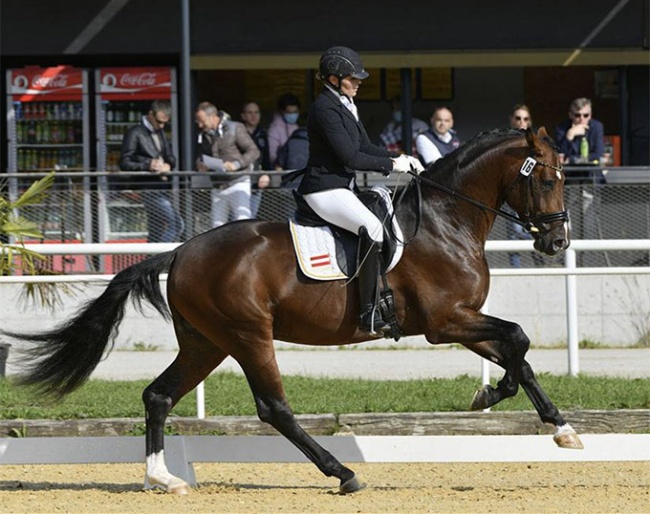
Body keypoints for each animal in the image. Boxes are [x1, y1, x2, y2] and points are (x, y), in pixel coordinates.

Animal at [5, 127, 580, 492]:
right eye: (546, 179)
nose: (556, 243)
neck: (446, 219)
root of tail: (182, 252)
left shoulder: (459, 321)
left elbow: (519, 354)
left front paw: (553, 424)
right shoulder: (445, 322)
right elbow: (520, 338)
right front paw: (494, 396)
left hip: (206, 343)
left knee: (159, 395)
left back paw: (162, 478)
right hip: (247, 336)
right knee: (273, 407)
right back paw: (341, 474)